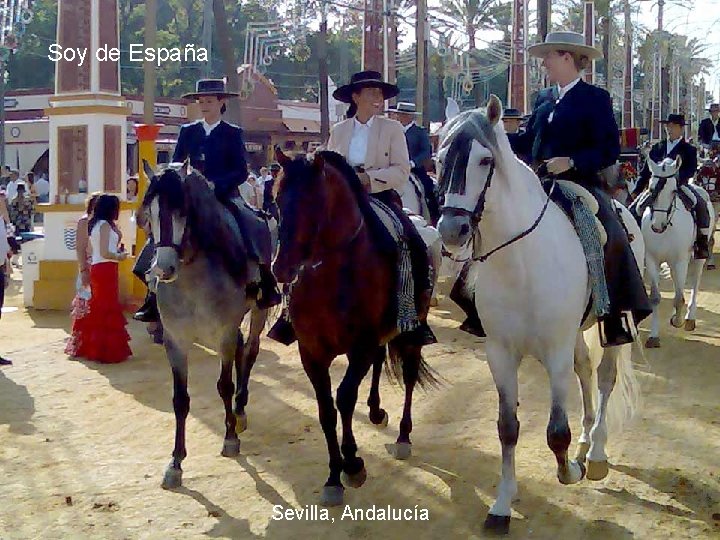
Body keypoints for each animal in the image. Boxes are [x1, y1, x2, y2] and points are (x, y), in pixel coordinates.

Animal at [137, 162, 268, 492]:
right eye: (150, 212)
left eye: (182, 210)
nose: (163, 269)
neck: (192, 282)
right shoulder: (175, 340)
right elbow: (180, 400)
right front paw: (175, 463)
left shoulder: (224, 334)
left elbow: (224, 385)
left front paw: (230, 439)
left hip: (259, 311)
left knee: (250, 351)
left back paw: (240, 411)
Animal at [272, 148, 436, 506]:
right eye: (276, 198)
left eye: (313, 201)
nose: (281, 267)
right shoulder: (312, 352)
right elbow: (325, 410)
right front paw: (334, 476)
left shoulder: (361, 344)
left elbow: (345, 397)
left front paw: (353, 464)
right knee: (379, 362)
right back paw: (375, 411)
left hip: (412, 332)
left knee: (409, 374)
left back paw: (403, 436)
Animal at [434, 97, 640, 536]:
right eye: (441, 158)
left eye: (484, 160)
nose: (452, 229)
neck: (521, 262)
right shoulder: (500, 353)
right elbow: (508, 428)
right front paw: (501, 505)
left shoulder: (555, 350)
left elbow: (556, 431)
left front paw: (571, 472)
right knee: (585, 370)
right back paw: (586, 442)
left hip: (612, 326)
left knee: (605, 377)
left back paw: (596, 454)